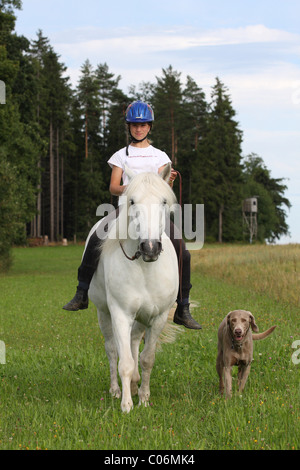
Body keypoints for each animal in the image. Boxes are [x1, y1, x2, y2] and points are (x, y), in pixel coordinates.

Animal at [88, 163, 179, 414]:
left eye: (163, 201)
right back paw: (115, 390)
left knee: (134, 341)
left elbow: (147, 358)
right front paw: (127, 405)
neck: (144, 267)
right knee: (112, 349)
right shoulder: (120, 314)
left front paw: (144, 399)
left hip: (141, 317)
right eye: (132, 201)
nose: (150, 247)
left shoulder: (157, 317)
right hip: (104, 313)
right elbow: (125, 362)